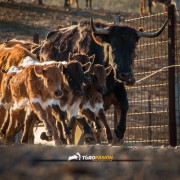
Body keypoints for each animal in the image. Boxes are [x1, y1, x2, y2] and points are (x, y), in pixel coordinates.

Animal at [37, 19, 168, 143]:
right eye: (114, 48)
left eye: (132, 49)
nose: (125, 75)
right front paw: (90, 133)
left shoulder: (117, 89)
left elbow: (124, 105)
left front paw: (119, 130)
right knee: (59, 120)